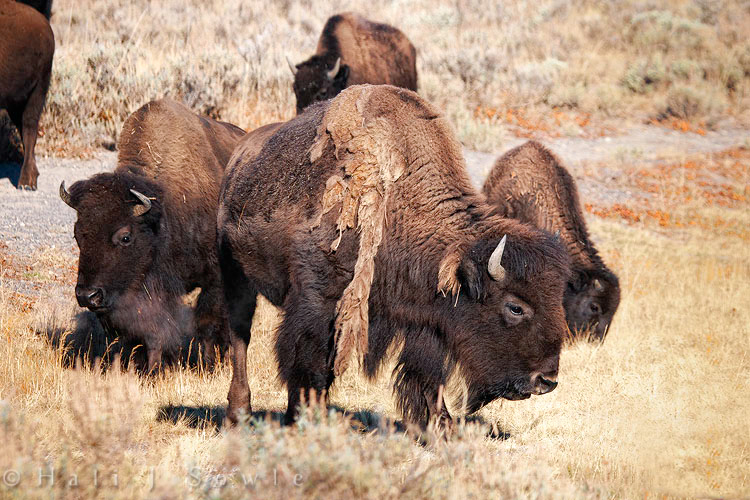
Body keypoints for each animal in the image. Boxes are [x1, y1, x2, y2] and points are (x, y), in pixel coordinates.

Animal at [60, 98, 245, 372]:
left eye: (125, 237)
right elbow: (149, 331)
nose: (87, 296)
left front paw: (208, 366)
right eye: (77, 236)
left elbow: (207, 322)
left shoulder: (215, 279)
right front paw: (148, 369)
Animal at [218, 85, 570, 429]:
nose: (547, 380)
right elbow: (310, 365)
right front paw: (305, 419)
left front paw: (442, 429)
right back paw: (238, 413)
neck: (400, 205)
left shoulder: (425, 317)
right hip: (235, 275)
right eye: (515, 307)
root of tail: (238, 157)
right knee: (240, 337)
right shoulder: (317, 303)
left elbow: (427, 377)